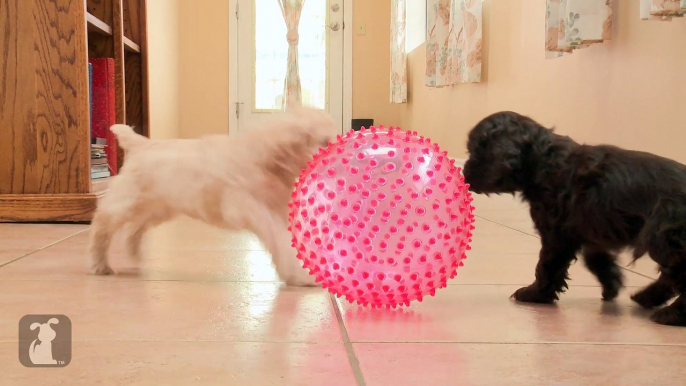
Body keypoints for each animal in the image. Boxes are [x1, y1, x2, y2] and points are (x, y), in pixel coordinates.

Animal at [90, 107, 338, 284]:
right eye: (325, 142)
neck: (270, 162)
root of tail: (141, 145)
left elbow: (284, 238)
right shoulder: (245, 205)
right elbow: (274, 234)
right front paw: (297, 275)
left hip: (157, 207)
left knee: (135, 229)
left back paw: (134, 256)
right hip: (126, 201)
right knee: (103, 225)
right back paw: (100, 263)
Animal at [464, 111, 684, 326]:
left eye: (475, 150)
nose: (464, 173)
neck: (542, 160)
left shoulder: (556, 234)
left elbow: (547, 266)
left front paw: (535, 294)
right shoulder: (587, 230)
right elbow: (595, 259)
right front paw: (612, 283)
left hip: (663, 237)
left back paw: (670, 315)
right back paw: (646, 298)